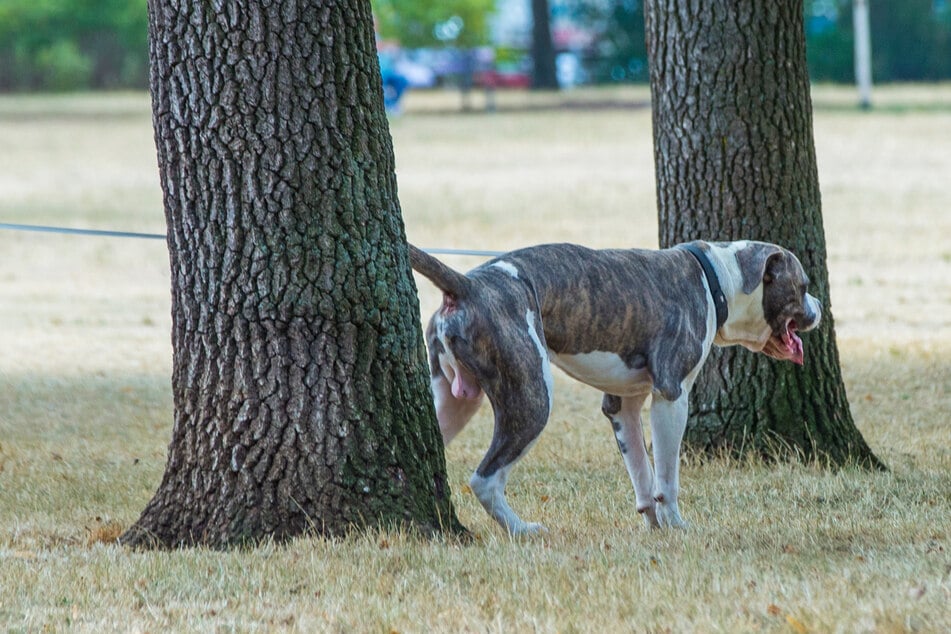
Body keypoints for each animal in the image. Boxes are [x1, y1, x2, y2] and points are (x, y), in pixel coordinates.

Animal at [406, 239, 820, 532]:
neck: (715, 279)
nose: (817, 308)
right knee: (485, 479)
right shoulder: (671, 397)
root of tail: (467, 284)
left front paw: (654, 524)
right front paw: (676, 524)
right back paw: (522, 529)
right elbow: (666, 476)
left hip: (454, 401)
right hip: (532, 396)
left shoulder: (623, 404)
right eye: (803, 286)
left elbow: (641, 472)